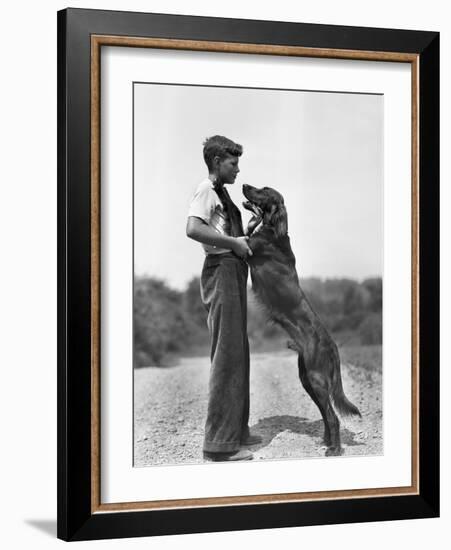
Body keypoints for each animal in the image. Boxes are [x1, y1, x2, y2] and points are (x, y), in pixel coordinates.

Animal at [242, 183, 362, 460]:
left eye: (263, 190)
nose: (244, 185)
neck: (273, 230)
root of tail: (332, 345)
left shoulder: (247, 249)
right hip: (307, 378)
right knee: (326, 415)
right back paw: (326, 442)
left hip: (316, 379)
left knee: (332, 416)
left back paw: (335, 449)